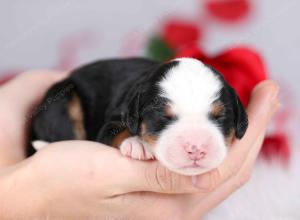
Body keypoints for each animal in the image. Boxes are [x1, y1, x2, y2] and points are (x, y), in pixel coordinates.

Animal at [28, 56, 248, 175]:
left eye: (220, 117)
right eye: (163, 117)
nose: (196, 149)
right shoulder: (111, 123)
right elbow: (118, 132)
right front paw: (137, 144)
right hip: (62, 101)